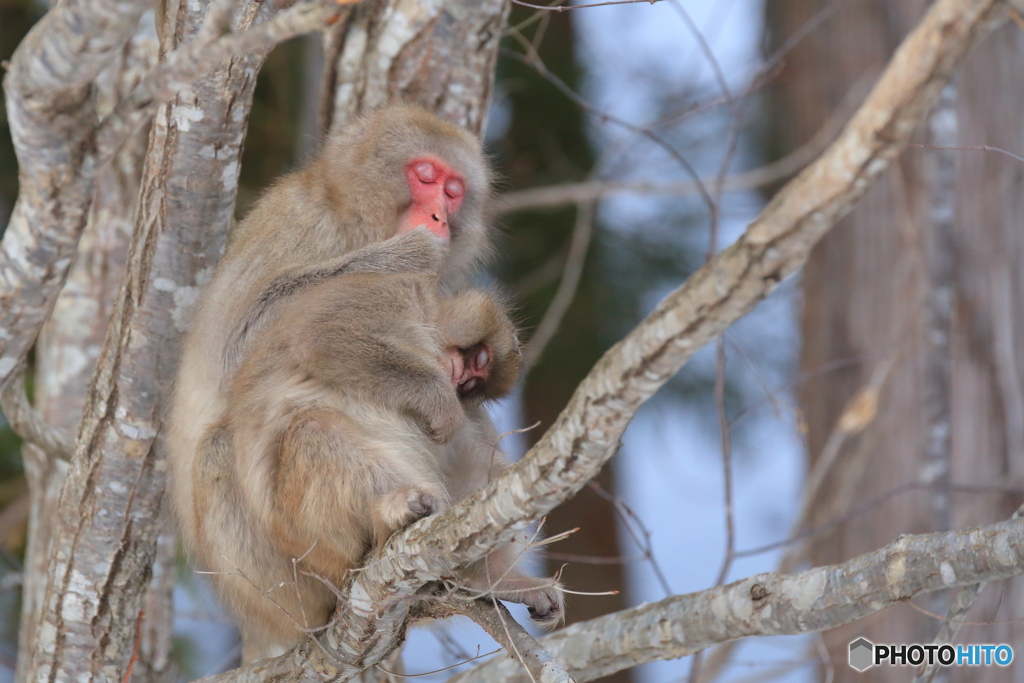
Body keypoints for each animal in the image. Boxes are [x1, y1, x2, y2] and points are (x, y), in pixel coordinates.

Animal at [171, 107, 565, 663]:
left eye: (454, 190)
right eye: (425, 175)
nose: (439, 217)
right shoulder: (298, 224)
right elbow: (251, 338)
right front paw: (409, 253)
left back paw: (488, 575)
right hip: (279, 581)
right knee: (229, 448)